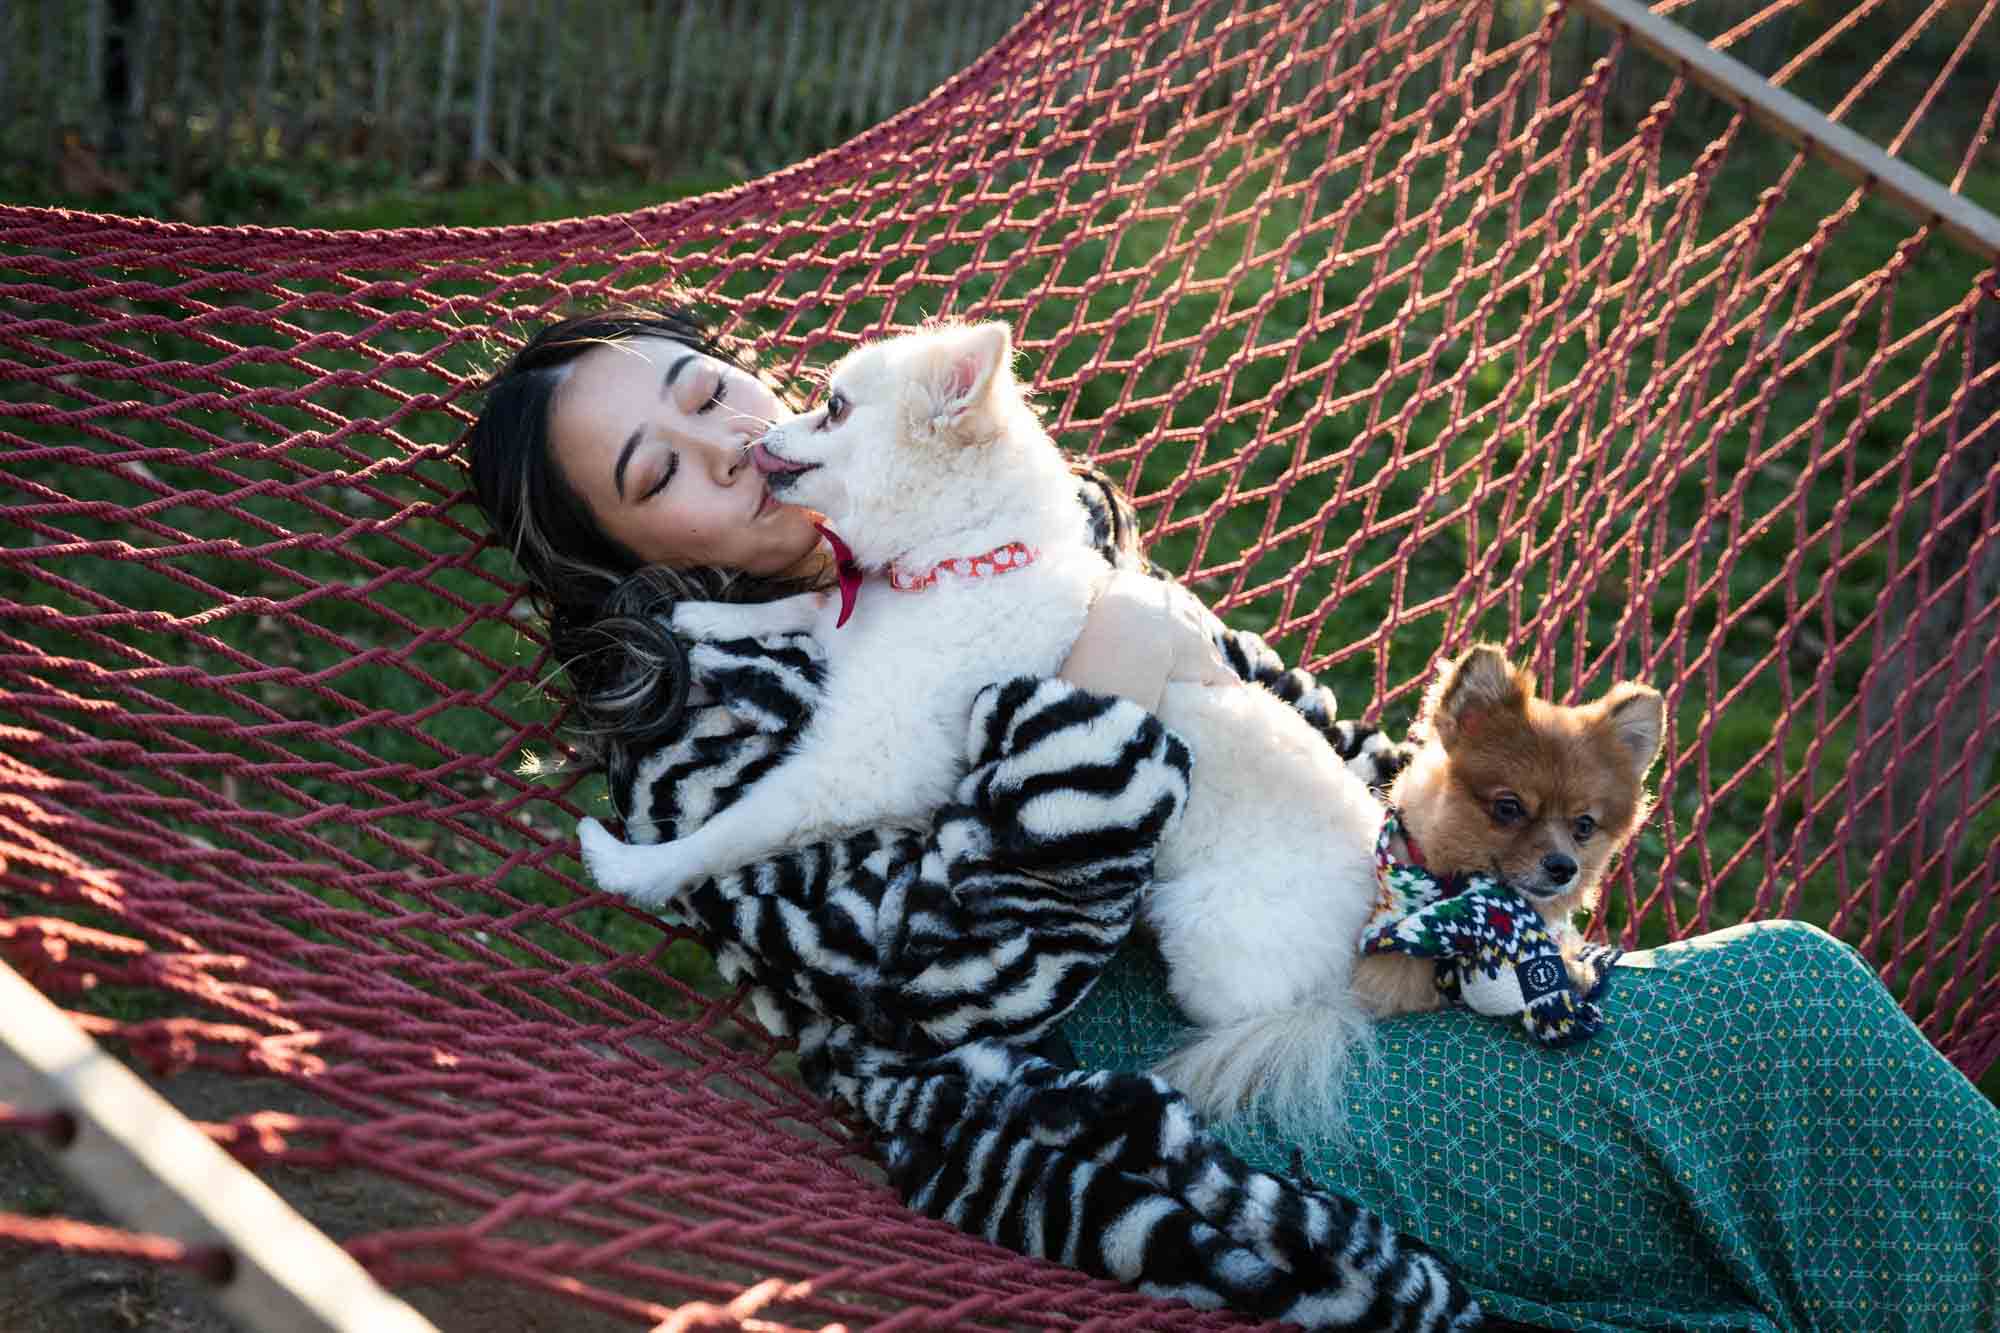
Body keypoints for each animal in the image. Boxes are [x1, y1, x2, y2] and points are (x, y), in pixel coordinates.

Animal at [580, 320, 1384, 1120]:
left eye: (834, 408)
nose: (755, 439)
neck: (961, 562)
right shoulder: (852, 627)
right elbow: (809, 605)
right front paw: (706, 616)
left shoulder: (859, 769)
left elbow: (732, 831)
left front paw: (632, 868)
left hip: (1213, 945)